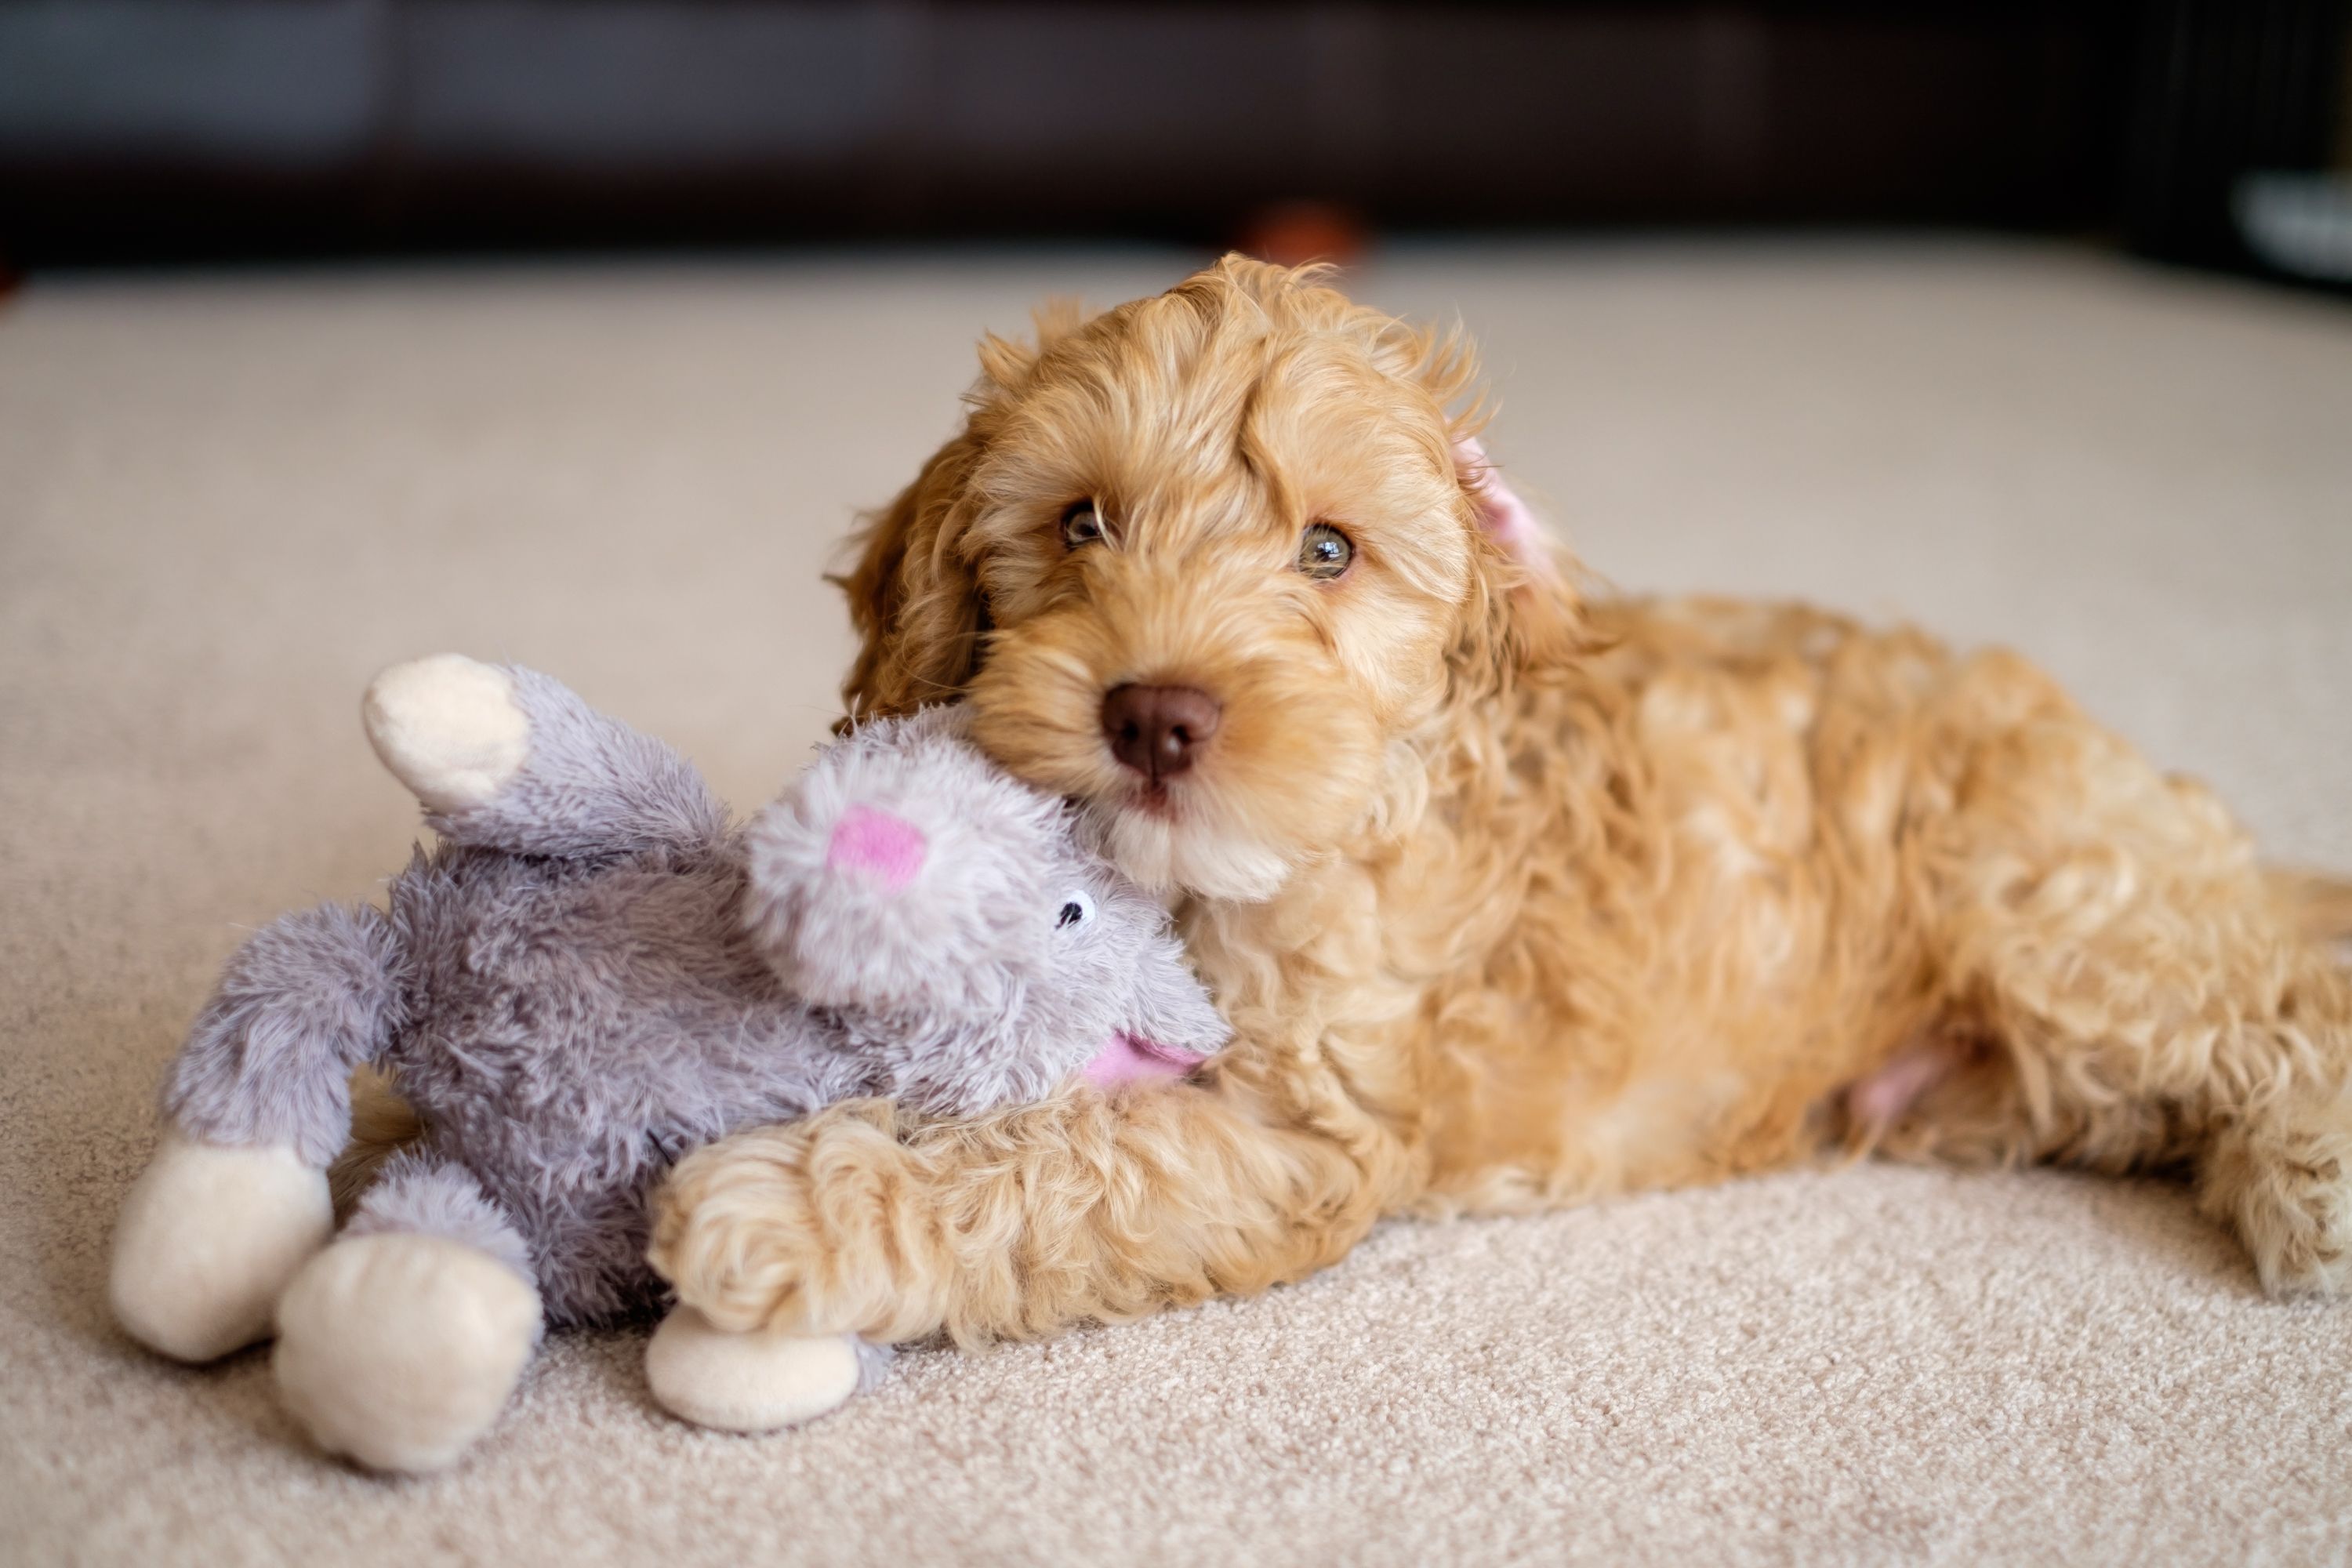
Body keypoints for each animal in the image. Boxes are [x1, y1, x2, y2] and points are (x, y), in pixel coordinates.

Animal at [654, 251, 2352, 1345]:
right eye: (1080, 524)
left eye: (1328, 552)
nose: (1154, 715)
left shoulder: (1299, 1131)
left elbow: (1073, 1166)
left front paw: (781, 1207)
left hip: (2067, 922)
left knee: (2288, 1002)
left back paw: (2308, 1181)